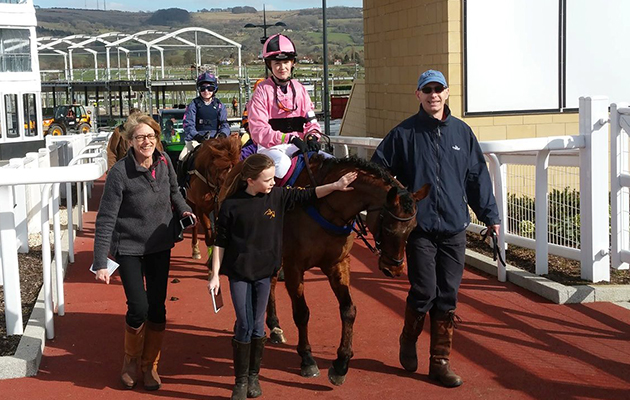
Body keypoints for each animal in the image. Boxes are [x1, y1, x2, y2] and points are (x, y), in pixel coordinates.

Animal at [223, 152, 430, 384]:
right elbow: (302, 312)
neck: (327, 204)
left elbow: (349, 310)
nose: (393, 269)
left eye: (412, 228)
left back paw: (274, 325)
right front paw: (307, 358)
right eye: (388, 228)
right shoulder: (294, 265)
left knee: (271, 283)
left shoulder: (337, 263)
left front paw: (341, 363)